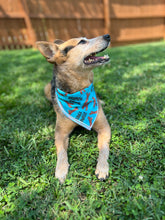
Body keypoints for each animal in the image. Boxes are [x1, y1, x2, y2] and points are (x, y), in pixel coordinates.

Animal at [35, 34, 111, 182]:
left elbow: (103, 148)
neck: (79, 89)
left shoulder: (104, 126)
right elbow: (61, 152)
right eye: (82, 42)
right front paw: (61, 169)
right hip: (46, 88)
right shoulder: (60, 133)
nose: (107, 36)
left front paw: (102, 167)